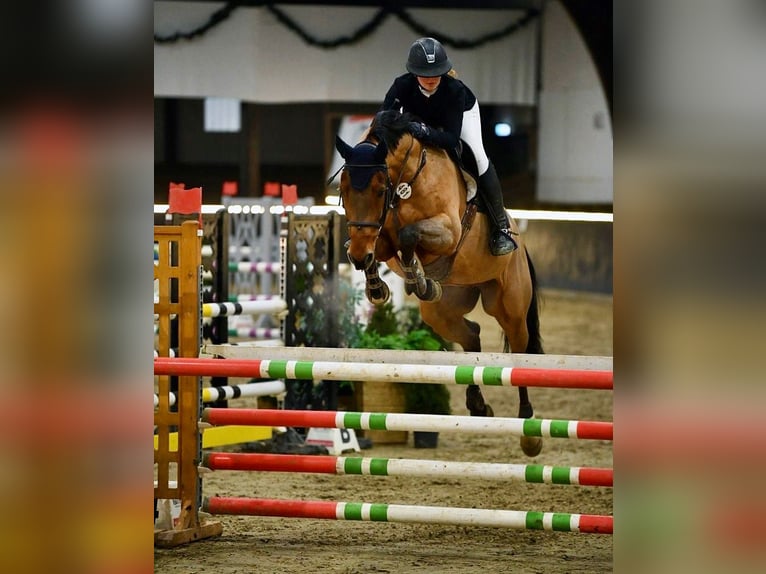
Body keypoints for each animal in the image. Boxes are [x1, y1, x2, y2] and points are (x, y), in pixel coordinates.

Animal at [335, 109, 544, 457]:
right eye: (344, 189)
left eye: (379, 189)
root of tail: (521, 241)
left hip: (509, 307)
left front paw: (417, 277)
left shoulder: (447, 231)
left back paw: (529, 429)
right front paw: (380, 286)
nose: (358, 257)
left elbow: (410, 235)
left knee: (519, 353)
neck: (406, 182)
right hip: (442, 311)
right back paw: (478, 405)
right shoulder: (382, 240)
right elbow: (388, 245)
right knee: (471, 335)